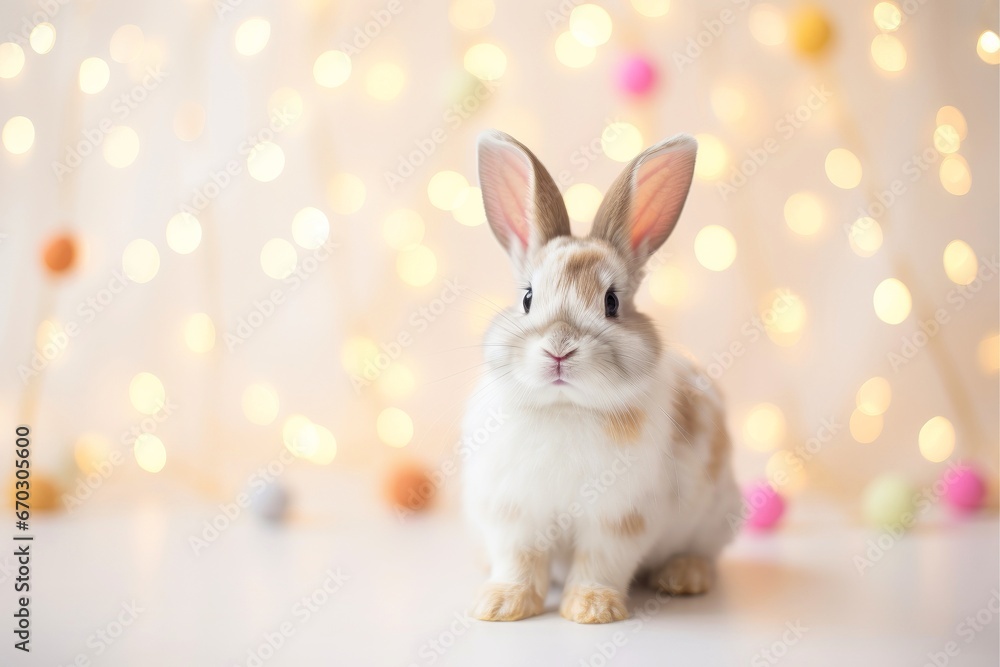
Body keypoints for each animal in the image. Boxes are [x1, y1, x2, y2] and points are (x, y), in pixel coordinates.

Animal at [460, 130, 742, 624]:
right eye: (527, 299)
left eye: (612, 302)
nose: (559, 348)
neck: (565, 408)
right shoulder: (513, 513)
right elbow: (517, 559)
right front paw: (500, 605)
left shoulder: (620, 518)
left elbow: (601, 562)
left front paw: (592, 610)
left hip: (714, 518)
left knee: (705, 553)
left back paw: (683, 577)